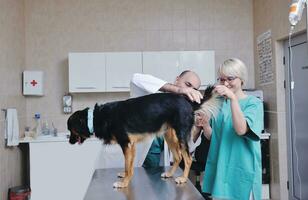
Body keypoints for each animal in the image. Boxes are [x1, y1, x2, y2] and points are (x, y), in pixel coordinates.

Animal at [67, 86, 221, 188]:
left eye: (71, 129)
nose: (69, 142)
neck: (97, 117)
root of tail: (189, 104)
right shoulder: (131, 146)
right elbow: (128, 165)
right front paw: (125, 177)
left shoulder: (126, 144)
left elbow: (127, 166)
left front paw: (124, 183)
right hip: (169, 135)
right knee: (178, 157)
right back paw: (169, 174)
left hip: (181, 135)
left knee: (187, 158)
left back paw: (182, 178)